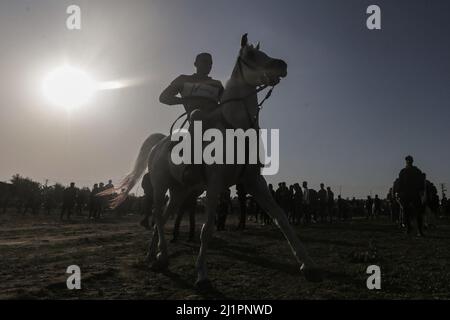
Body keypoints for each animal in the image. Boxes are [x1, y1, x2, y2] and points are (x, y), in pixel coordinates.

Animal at [110, 33, 322, 286]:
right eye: (251, 55)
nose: (281, 65)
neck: (236, 129)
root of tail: (159, 143)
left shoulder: (254, 181)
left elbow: (281, 218)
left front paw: (308, 265)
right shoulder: (214, 182)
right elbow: (208, 228)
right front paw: (201, 273)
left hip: (180, 191)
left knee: (163, 216)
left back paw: (156, 256)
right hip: (161, 186)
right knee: (158, 218)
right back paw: (161, 256)